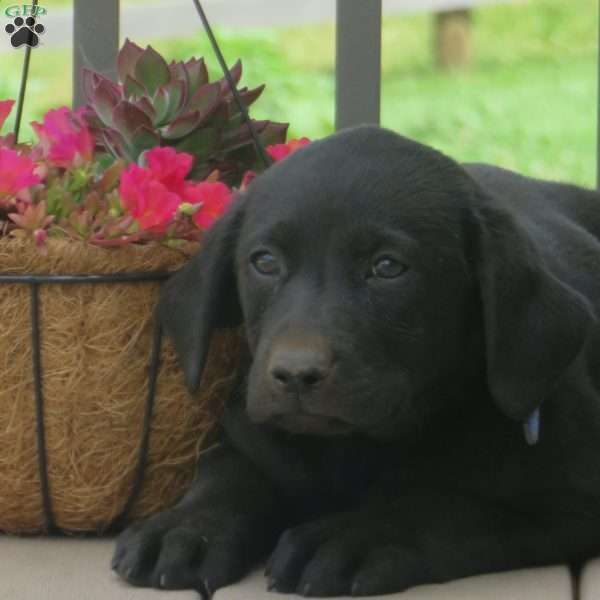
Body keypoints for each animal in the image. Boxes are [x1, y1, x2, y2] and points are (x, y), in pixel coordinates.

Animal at [111, 125, 600, 596]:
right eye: (264, 261)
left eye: (387, 267)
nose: (295, 375)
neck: (351, 449)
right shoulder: (249, 437)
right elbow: (228, 476)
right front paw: (185, 528)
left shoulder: (569, 498)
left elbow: (444, 506)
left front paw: (349, 538)